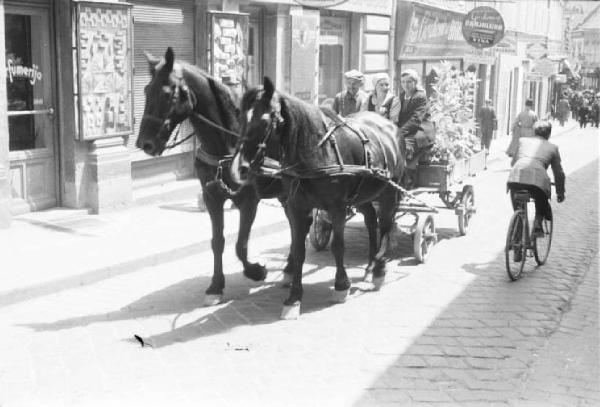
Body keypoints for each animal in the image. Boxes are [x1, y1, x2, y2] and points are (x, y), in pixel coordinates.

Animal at [135, 48, 288, 306]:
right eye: (146, 90)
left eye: (167, 94)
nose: (144, 143)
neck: (228, 145)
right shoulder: (212, 197)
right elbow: (218, 242)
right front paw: (216, 285)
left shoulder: (248, 201)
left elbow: (241, 244)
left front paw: (255, 271)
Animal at [232, 76, 406, 318]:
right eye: (239, 117)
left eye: (265, 121)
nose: (241, 168)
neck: (316, 153)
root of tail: (389, 126)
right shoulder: (296, 207)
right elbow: (298, 250)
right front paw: (294, 297)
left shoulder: (337, 207)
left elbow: (338, 246)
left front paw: (341, 286)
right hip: (363, 195)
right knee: (372, 221)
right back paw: (370, 266)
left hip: (389, 191)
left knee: (386, 225)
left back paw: (379, 269)